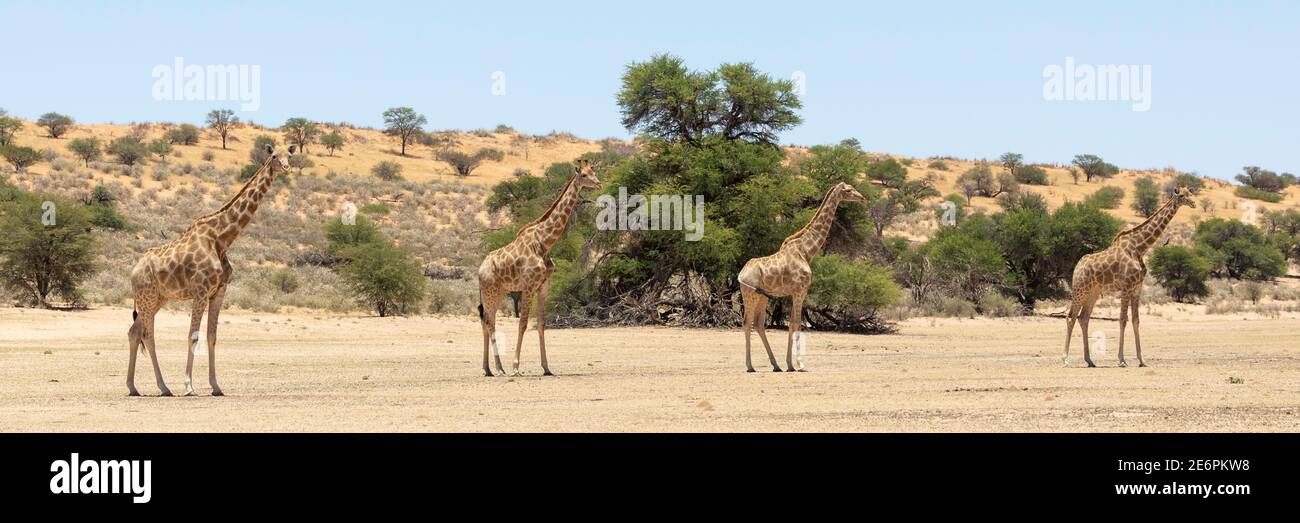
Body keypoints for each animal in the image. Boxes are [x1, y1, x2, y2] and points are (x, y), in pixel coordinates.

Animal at [126, 144, 298, 396]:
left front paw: (216, 386)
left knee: (134, 332)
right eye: (274, 155)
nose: (286, 167)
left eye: (290, 154)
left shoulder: (218, 291)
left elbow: (212, 336)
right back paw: (163, 387)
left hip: (157, 299)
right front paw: (189, 386)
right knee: (148, 336)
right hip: (147, 299)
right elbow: (193, 337)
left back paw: (133, 387)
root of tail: (133, 272)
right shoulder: (200, 291)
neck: (222, 238)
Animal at [476, 159, 600, 377]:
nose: (599, 183)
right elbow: (523, 324)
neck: (544, 242)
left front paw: (547, 367)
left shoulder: (544, 286)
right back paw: (499, 369)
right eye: (584, 175)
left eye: (593, 171)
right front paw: (516, 367)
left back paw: (489, 369)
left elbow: (542, 324)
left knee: (487, 321)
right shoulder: (528, 286)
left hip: (498, 292)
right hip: (490, 291)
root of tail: (479, 270)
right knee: (489, 322)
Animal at [736, 182, 868, 372]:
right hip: (750, 295)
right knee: (747, 323)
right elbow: (797, 323)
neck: (806, 251)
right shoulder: (800, 290)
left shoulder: (794, 292)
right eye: (849, 190)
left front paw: (790, 364)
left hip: (762, 296)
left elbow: (792, 323)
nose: (862, 198)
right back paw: (750, 366)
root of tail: (741, 273)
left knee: (758, 324)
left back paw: (775, 365)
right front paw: (800, 364)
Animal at [1063, 186, 1196, 368]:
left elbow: (1136, 320)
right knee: (1071, 317)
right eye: (1182, 195)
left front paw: (1142, 360)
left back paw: (1090, 360)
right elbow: (1123, 320)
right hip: (1079, 290)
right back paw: (1066, 359)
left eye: (1190, 193)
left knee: (1083, 318)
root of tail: (1077, 266)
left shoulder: (1137, 288)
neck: (1140, 247)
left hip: (1093, 292)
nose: (1193, 203)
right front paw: (1122, 360)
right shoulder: (1126, 287)